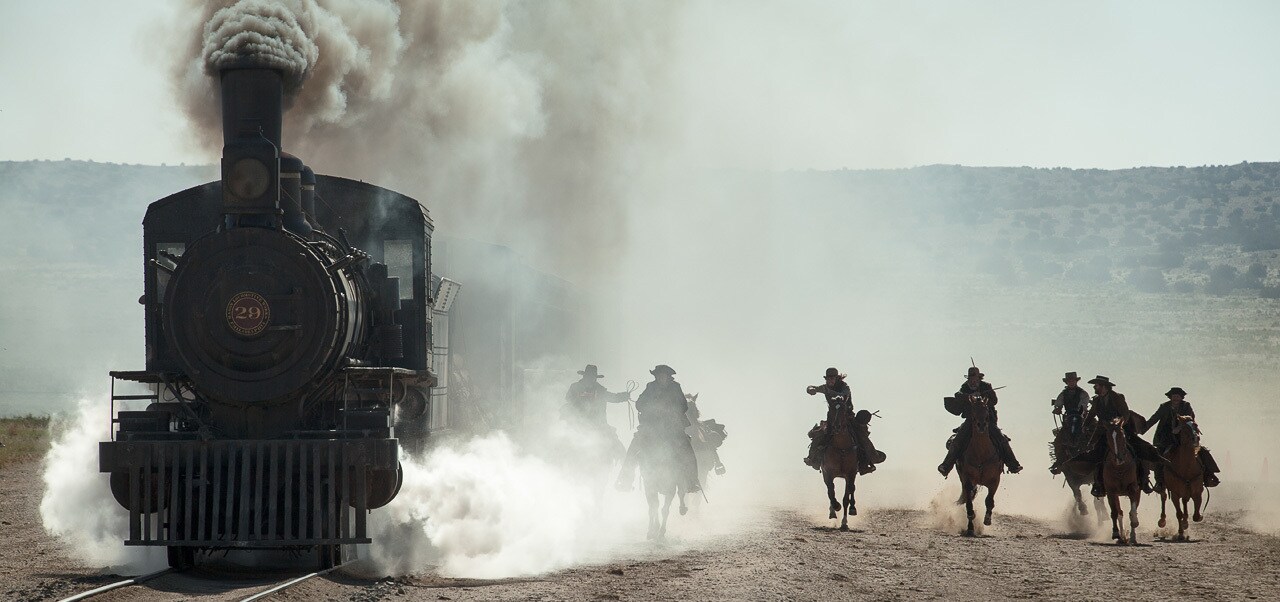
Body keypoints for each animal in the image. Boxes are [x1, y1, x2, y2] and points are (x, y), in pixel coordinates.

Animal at [819, 402, 860, 530]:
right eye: (831, 410)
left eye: (844, 411)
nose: (837, 426)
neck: (841, 447)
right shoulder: (828, 472)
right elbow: (831, 491)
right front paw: (835, 507)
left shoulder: (850, 474)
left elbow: (846, 497)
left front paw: (845, 522)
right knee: (830, 490)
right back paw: (832, 511)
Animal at [952, 397, 998, 532]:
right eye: (973, 414)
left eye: (987, 413)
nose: (981, 425)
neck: (981, 454)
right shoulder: (967, 480)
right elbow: (969, 504)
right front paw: (970, 525)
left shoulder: (995, 480)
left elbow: (989, 500)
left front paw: (987, 519)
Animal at [1095, 414, 1146, 543]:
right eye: (1108, 437)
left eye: (1122, 434)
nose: (1119, 458)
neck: (1120, 468)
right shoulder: (1111, 491)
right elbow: (1115, 512)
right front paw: (1116, 533)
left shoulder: (1133, 488)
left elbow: (1132, 511)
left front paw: (1135, 523)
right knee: (1119, 513)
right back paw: (1123, 536)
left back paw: (1132, 537)